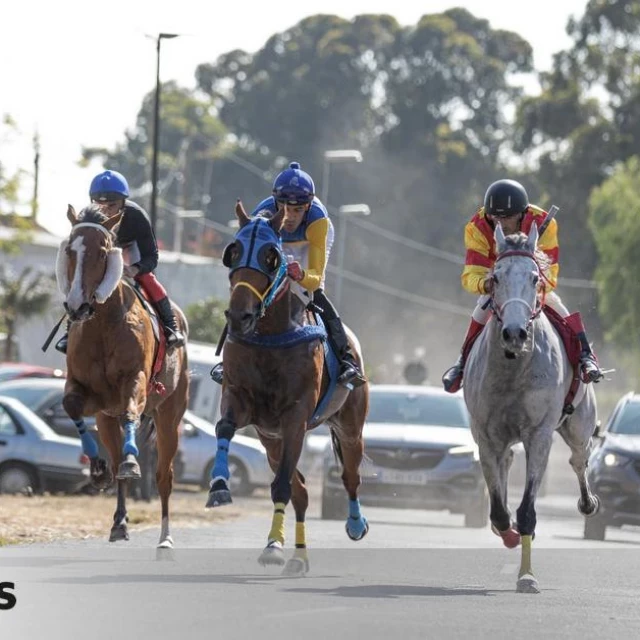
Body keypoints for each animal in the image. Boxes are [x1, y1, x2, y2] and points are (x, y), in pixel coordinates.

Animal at [55, 206, 188, 552]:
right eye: (70, 250)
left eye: (103, 252)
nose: (77, 306)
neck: (102, 323)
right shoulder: (88, 392)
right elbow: (71, 406)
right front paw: (98, 469)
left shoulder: (135, 380)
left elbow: (130, 410)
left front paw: (131, 461)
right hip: (106, 418)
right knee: (119, 468)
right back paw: (119, 522)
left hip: (170, 415)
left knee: (164, 476)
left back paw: (165, 536)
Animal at [202, 201, 368, 576]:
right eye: (233, 252)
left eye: (271, 256)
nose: (240, 317)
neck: (271, 334)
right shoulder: (241, 399)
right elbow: (224, 427)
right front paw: (219, 486)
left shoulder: (296, 417)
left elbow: (280, 485)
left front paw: (273, 550)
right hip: (270, 439)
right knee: (302, 489)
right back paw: (296, 555)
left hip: (349, 426)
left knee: (350, 476)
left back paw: (354, 524)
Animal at [464, 222, 600, 592]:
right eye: (495, 278)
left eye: (535, 278)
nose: (514, 333)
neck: (513, 368)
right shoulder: (485, 436)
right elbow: (499, 510)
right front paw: (506, 531)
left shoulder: (539, 434)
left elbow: (527, 511)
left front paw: (526, 575)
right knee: (506, 462)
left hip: (579, 426)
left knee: (579, 459)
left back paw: (587, 502)